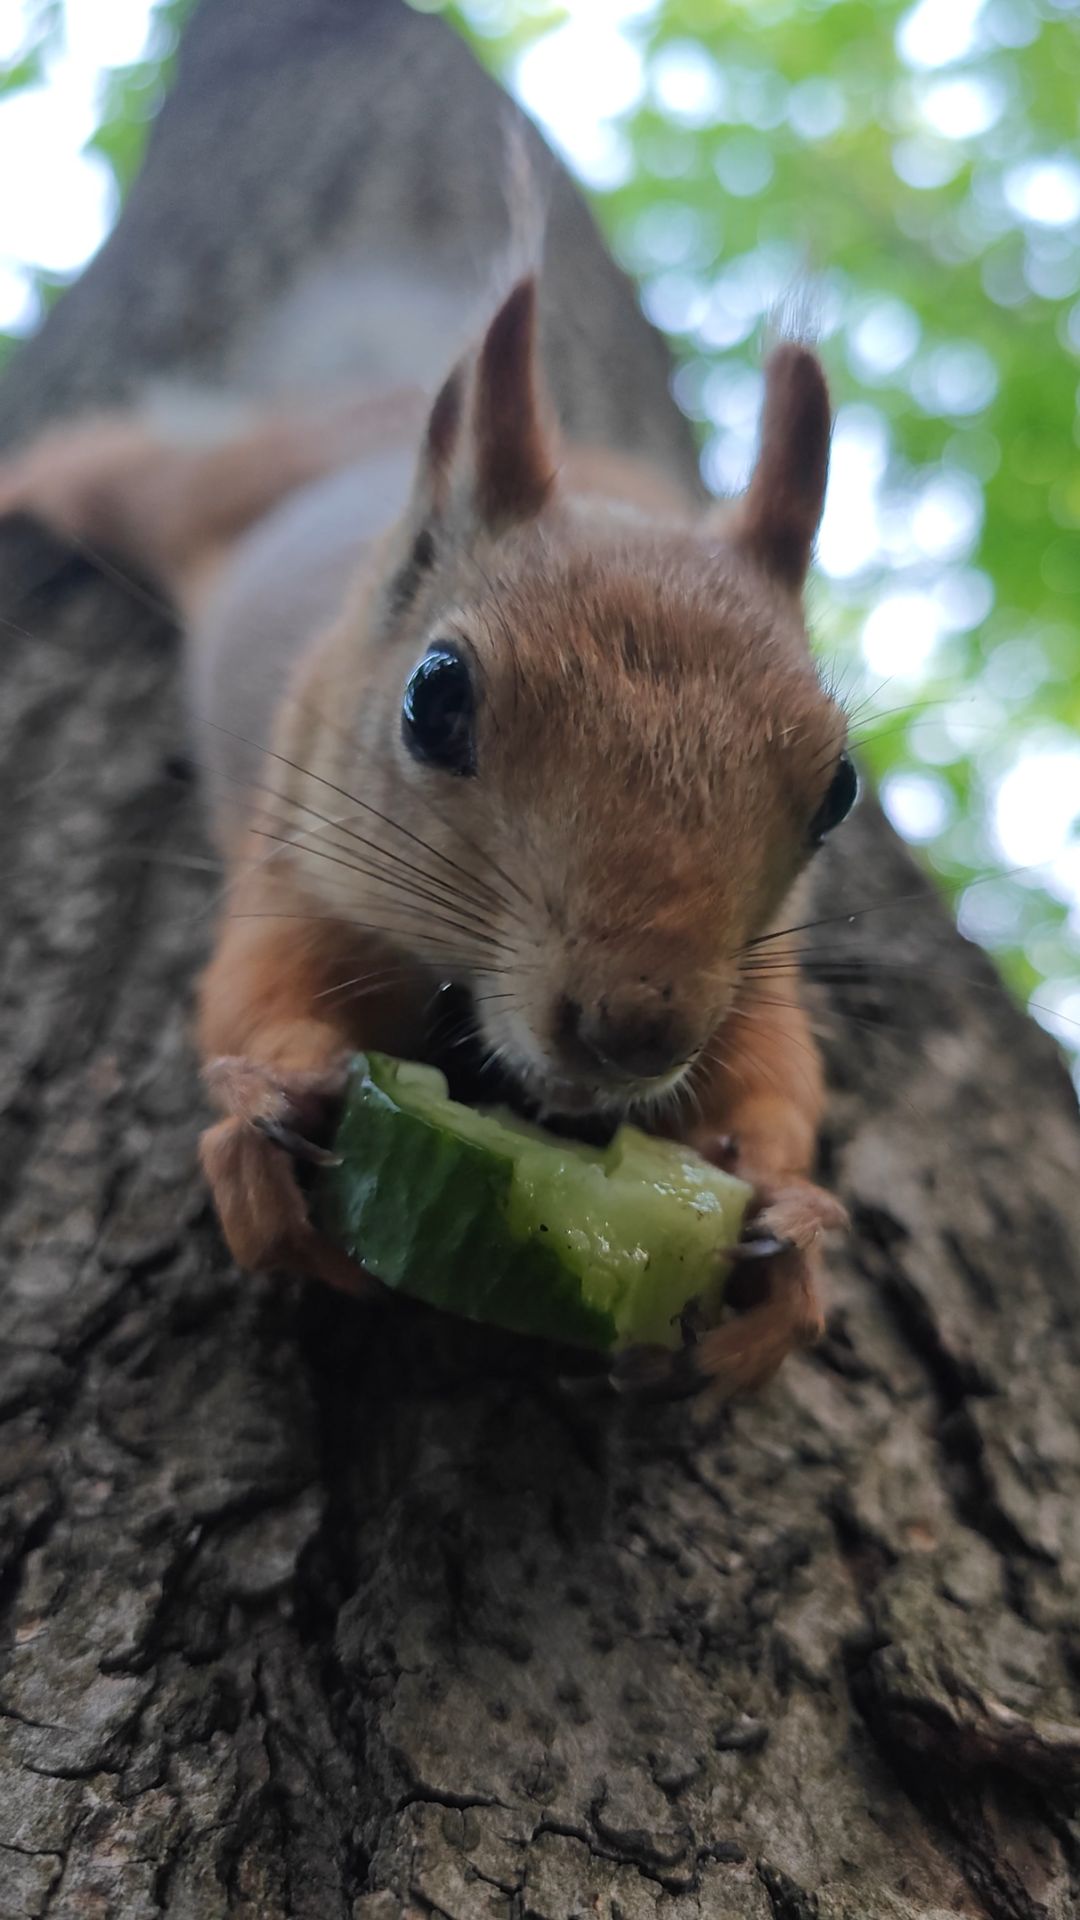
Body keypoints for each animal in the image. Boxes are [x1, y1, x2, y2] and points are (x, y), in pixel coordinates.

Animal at [0, 139, 855, 1401]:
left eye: (840, 789)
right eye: (433, 698)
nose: (636, 1026)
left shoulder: (759, 978)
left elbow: (783, 1080)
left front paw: (791, 1222)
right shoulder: (299, 862)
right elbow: (253, 995)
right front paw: (268, 1111)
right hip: (180, 495)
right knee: (107, 463)